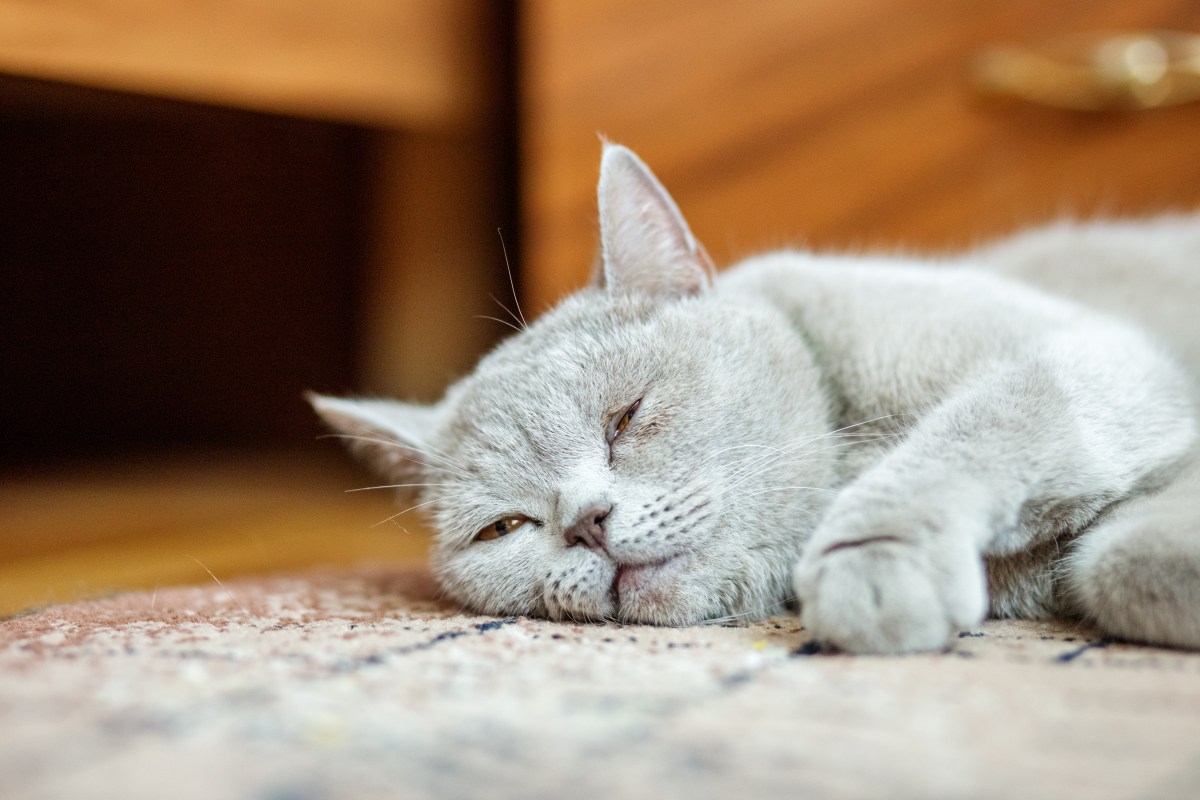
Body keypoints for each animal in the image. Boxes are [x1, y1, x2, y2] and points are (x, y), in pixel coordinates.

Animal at [312, 145, 1200, 657]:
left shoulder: (1089, 353)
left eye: (625, 418)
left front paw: (874, 563)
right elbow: (1122, 564)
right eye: (504, 528)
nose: (587, 522)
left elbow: (983, 434)